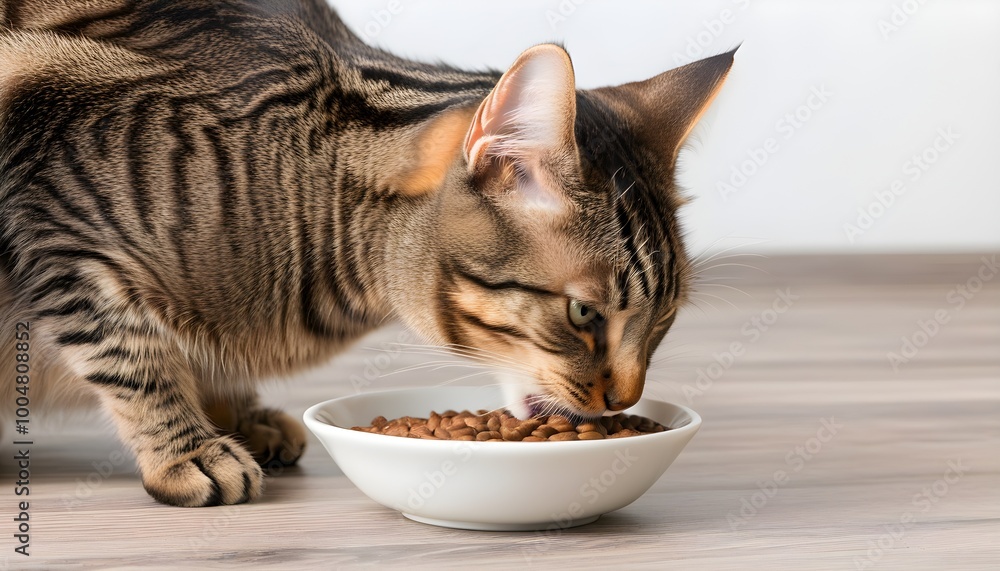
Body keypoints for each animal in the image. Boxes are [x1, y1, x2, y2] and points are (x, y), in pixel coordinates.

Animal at [0, 0, 736, 510]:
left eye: (665, 319)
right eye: (584, 313)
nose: (625, 398)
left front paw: (235, 407)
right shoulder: (45, 204)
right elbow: (131, 349)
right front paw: (191, 445)